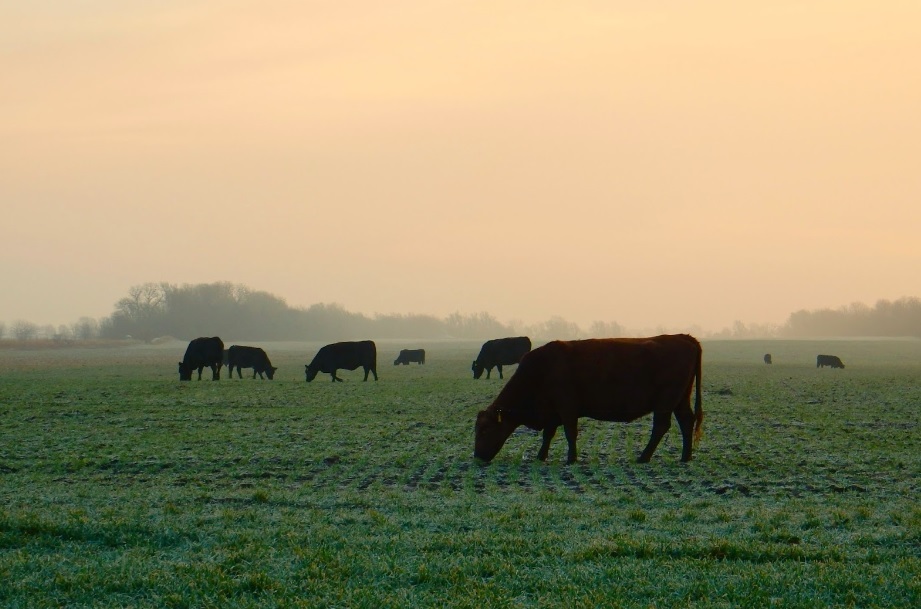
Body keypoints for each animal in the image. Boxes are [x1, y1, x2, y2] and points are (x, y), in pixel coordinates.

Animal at [478, 334, 700, 464]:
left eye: (485, 429)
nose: (477, 456)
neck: (541, 370)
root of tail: (683, 338)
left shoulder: (567, 409)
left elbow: (569, 433)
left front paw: (571, 459)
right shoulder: (553, 412)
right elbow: (548, 434)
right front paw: (541, 456)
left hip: (665, 402)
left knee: (661, 426)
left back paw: (643, 457)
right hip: (680, 400)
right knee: (686, 421)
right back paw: (685, 457)